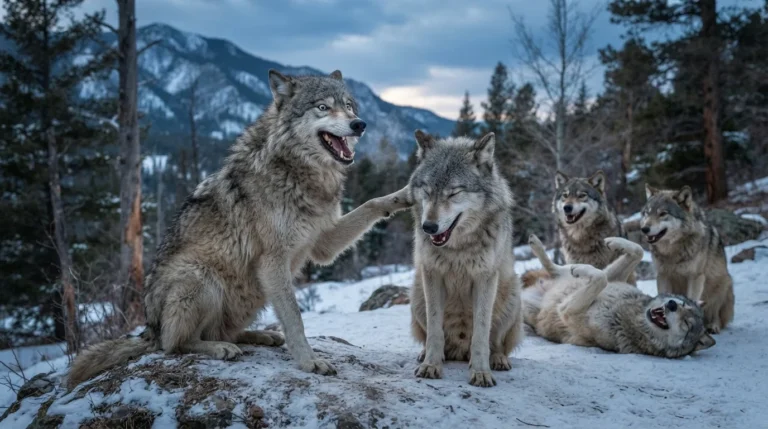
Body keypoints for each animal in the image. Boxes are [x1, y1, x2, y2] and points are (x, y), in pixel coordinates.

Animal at [67, 70, 412, 388]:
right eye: (323, 107)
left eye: (349, 106)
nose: (359, 124)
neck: (298, 172)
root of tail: (147, 331)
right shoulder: (273, 261)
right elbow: (295, 318)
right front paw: (309, 362)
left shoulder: (321, 244)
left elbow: (371, 204)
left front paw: (404, 196)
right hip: (201, 278)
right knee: (174, 344)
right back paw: (220, 348)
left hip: (250, 294)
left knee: (220, 331)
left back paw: (259, 336)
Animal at [408, 131, 524, 388]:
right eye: (427, 191)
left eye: (454, 192)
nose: (429, 227)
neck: (457, 248)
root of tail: (459, 351)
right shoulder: (432, 275)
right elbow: (434, 330)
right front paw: (430, 365)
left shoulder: (484, 278)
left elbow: (481, 332)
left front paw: (481, 372)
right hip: (417, 296)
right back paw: (425, 354)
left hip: (512, 297)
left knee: (497, 343)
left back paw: (498, 359)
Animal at [523, 234, 716, 358]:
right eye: (682, 303)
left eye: (687, 324)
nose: (671, 305)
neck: (629, 312)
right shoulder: (614, 278)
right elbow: (637, 251)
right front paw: (613, 242)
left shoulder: (566, 311)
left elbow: (600, 278)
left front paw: (585, 269)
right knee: (556, 269)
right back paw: (537, 245)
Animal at [641, 184, 735, 334]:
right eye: (647, 213)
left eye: (663, 213)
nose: (644, 229)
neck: (673, 252)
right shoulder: (663, 275)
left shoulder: (695, 277)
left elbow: (691, 300)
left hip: (723, 282)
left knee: (717, 314)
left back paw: (713, 326)